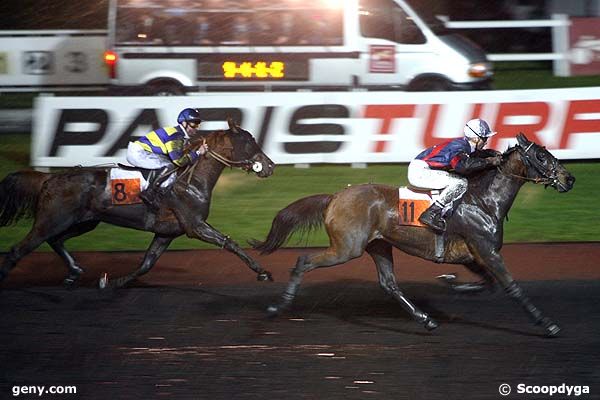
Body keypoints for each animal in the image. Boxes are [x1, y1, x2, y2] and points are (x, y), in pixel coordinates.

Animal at [0, 119, 276, 288]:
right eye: (250, 141)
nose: (270, 166)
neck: (192, 179)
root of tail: (49, 178)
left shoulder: (167, 233)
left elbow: (146, 264)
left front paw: (111, 282)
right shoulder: (195, 226)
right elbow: (230, 243)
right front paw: (262, 271)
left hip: (83, 222)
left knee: (56, 241)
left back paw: (75, 272)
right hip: (51, 220)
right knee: (18, 250)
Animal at [251, 134, 576, 338]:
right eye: (542, 156)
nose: (569, 179)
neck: (484, 201)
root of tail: (335, 197)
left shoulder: (472, 254)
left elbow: (486, 283)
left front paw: (453, 284)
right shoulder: (487, 251)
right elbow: (511, 287)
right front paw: (548, 325)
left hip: (379, 246)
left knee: (389, 284)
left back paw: (426, 320)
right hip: (347, 248)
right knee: (303, 262)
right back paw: (277, 307)